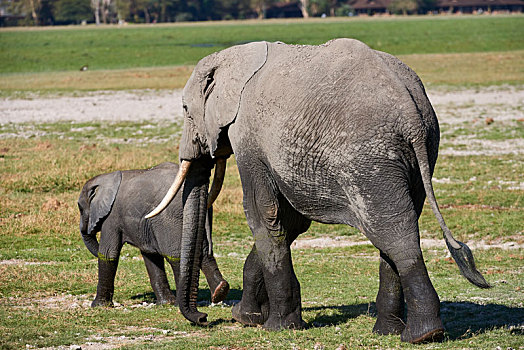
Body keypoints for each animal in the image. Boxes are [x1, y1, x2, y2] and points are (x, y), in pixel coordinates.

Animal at [77, 161, 228, 306]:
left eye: (80, 208)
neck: (106, 179)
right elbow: (151, 256)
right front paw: (165, 303)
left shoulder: (111, 217)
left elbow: (108, 254)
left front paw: (98, 306)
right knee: (203, 252)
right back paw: (219, 292)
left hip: (171, 218)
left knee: (177, 255)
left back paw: (180, 304)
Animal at [145, 39, 490, 344]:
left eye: (186, 109)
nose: (203, 317)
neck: (238, 55)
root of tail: (413, 116)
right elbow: (290, 221)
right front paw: (246, 318)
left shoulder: (248, 136)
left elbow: (262, 215)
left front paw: (276, 327)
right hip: (420, 152)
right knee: (395, 228)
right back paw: (388, 332)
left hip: (369, 159)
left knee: (393, 234)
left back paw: (421, 335)